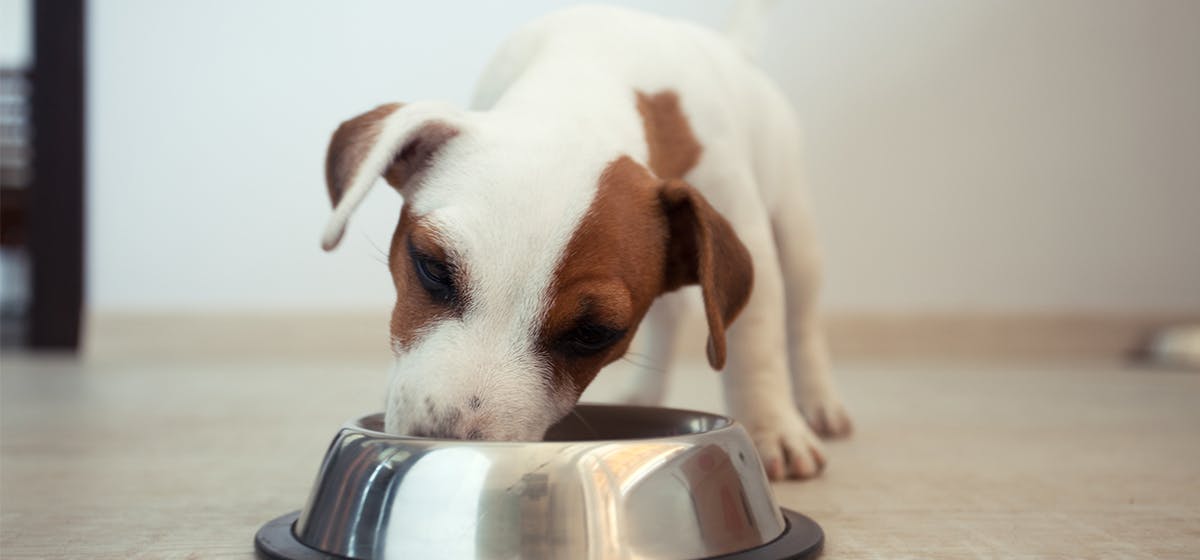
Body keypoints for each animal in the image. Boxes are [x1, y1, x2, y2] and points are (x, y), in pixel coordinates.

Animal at [319, 2, 854, 479]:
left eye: (593, 333)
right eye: (432, 267)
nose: (447, 446)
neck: (586, 79)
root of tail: (734, 48)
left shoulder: (747, 227)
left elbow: (755, 345)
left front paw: (771, 428)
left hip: (795, 233)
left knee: (801, 321)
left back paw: (818, 402)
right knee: (671, 314)